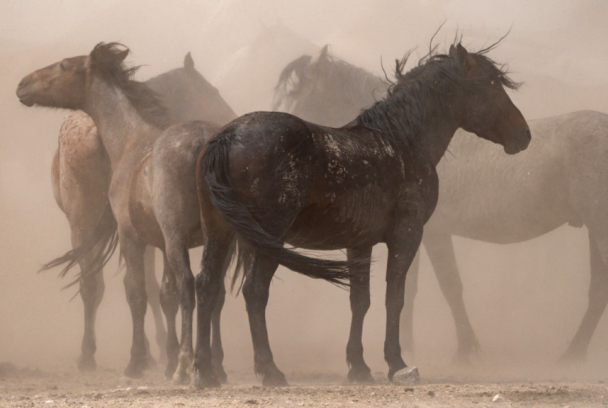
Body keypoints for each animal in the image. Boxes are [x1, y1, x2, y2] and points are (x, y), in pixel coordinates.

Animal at [15, 42, 242, 382]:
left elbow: (137, 294)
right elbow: (163, 294)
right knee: (208, 287)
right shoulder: (157, 241)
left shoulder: (132, 237)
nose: (22, 84)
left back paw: (183, 365)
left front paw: (137, 362)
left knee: (185, 285)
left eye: (64, 65)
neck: (130, 139)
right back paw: (204, 368)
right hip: (215, 238)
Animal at [197, 42, 528, 388]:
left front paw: (358, 366)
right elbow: (395, 297)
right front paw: (396, 363)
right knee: (254, 291)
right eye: (491, 85)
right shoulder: (407, 236)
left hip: (218, 233)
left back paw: (205, 372)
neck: (401, 140)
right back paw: (269, 370)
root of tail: (228, 136)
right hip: (268, 238)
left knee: (206, 286)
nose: (524, 134)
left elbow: (360, 300)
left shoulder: (359, 243)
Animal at [274, 46, 608, 362]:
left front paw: (465, 348)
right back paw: (575, 353)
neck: (400, 141)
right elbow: (411, 288)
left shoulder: (433, 233)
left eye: (295, 93)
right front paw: (409, 346)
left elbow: (449, 286)